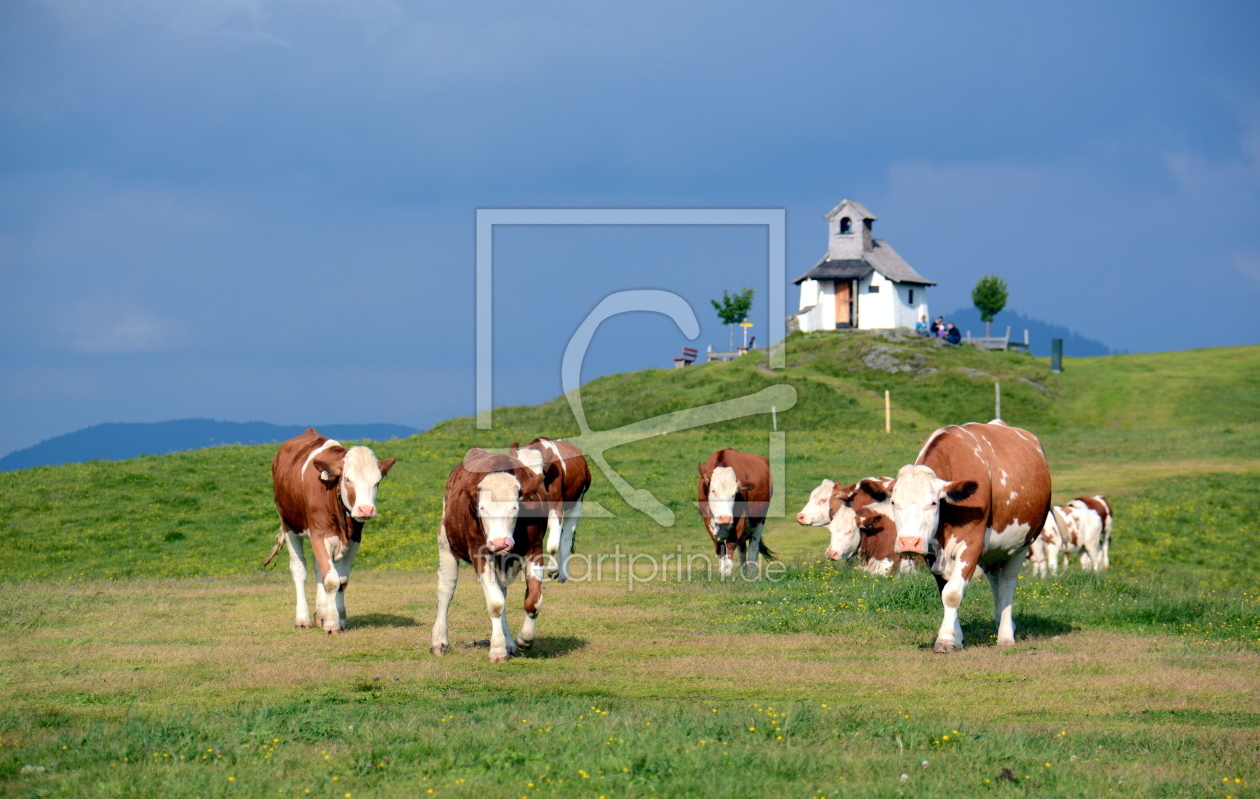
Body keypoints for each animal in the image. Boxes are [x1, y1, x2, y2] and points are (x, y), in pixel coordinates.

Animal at [268, 428, 395, 635]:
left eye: (377, 482)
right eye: (348, 479)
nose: (365, 510)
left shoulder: (354, 539)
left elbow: (341, 580)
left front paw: (339, 619)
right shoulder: (319, 534)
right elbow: (331, 581)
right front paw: (331, 624)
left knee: (319, 568)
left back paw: (320, 614)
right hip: (290, 526)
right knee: (299, 569)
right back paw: (302, 619)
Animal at [433, 448, 546, 660]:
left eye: (515, 507)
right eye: (482, 508)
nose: (500, 542)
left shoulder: (535, 549)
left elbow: (533, 601)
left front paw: (524, 640)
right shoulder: (479, 554)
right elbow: (495, 604)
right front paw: (497, 650)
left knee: (502, 591)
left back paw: (510, 644)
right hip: (445, 542)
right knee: (446, 588)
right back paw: (439, 642)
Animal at [509, 438, 592, 582]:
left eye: (539, 475)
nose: (527, 494)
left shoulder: (556, 508)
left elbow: (553, 545)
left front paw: (553, 570)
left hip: (577, 505)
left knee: (565, 539)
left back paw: (563, 574)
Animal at [695, 446, 771, 574]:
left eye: (735, 493)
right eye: (713, 490)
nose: (725, 518)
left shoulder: (740, 521)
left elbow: (730, 547)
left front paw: (727, 573)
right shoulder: (707, 521)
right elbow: (720, 549)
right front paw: (722, 573)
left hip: (760, 521)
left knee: (752, 549)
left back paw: (751, 574)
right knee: (742, 548)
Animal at [866, 420, 1053, 650]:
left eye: (933, 503)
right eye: (893, 502)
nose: (909, 542)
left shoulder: (971, 545)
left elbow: (953, 593)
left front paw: (946, 639)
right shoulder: (932, 551)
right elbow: (945, 592)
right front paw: (956, 637)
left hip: (1020, 546)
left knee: (1008, 583)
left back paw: (1006, 634)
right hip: (994, 553)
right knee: (996, 582)